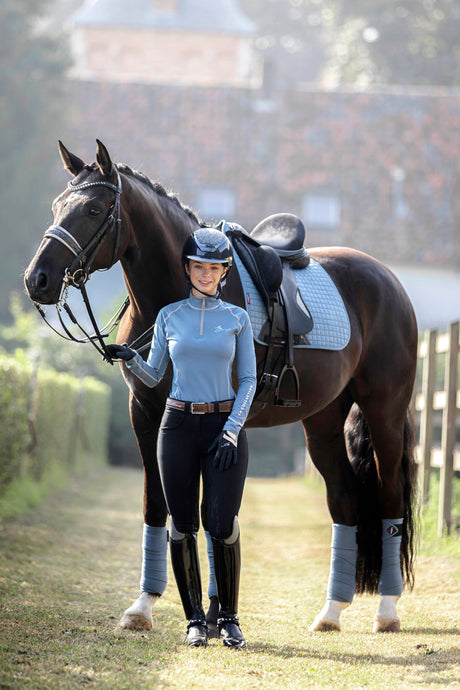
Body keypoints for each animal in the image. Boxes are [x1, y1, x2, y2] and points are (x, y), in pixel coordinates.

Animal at [26, 141, 420, 636]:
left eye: (94, 209)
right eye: (57, 206)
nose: (37, 279)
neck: (183, 297)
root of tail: (388, 281)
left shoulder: (225, 423)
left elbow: (213, 513)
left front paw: (214, 615)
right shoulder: (146, 415)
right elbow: (160, 507)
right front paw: (146, 608)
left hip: (384, 413)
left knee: (389, 498)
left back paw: (387, 611)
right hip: (324, 424)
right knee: (345, 501)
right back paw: (330, 612)